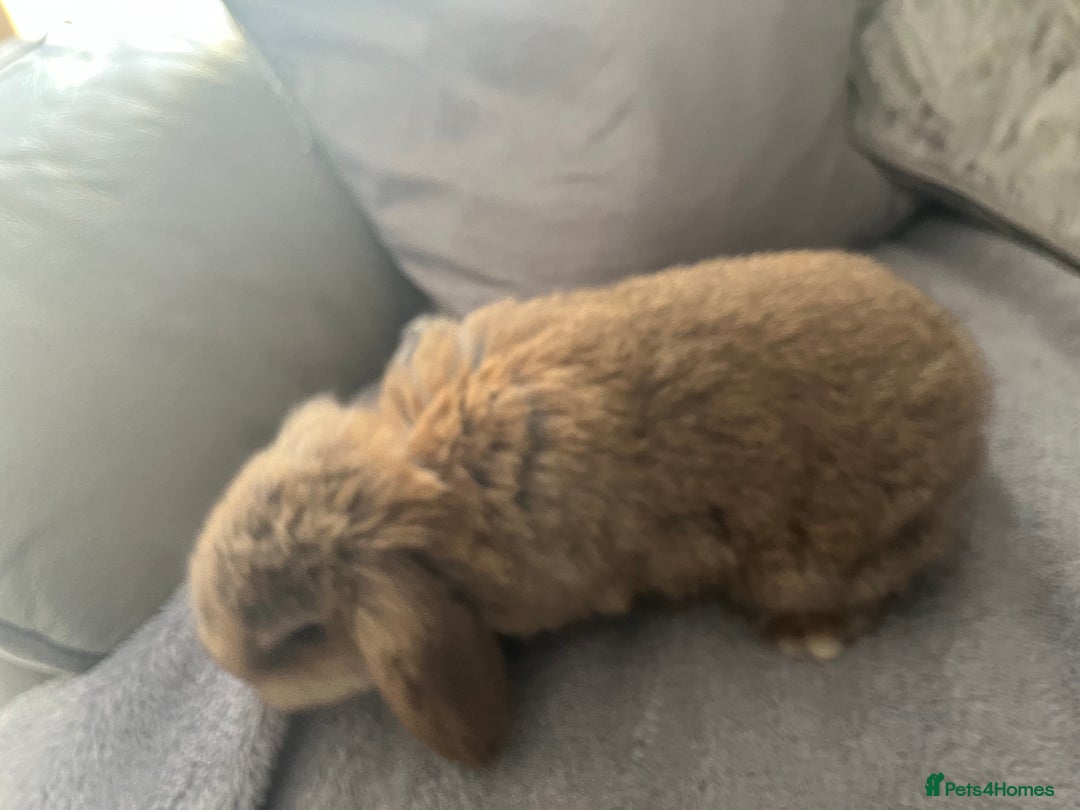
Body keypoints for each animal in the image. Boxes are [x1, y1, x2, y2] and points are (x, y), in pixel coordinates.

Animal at [188, 250, 990, 766]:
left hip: (818, 560)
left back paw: (806, 637)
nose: (226, 665)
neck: (416, 474)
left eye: (300, 637)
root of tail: (977, 410)